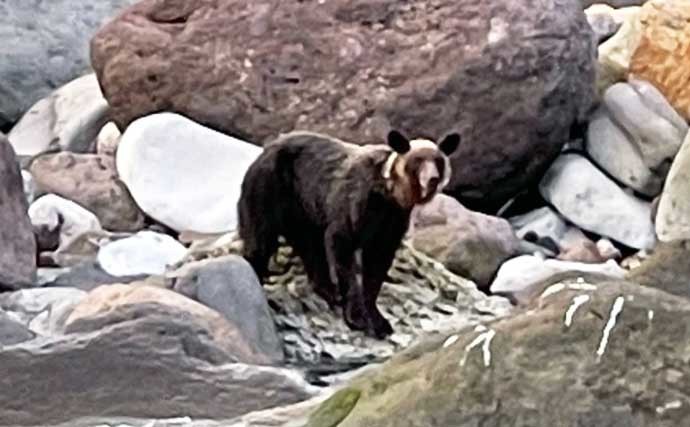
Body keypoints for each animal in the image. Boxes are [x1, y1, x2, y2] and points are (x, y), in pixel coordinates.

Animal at [239, 130, 460, 338]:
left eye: (438, 161)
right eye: (418, 160)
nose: (432, 179)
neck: (389, 194)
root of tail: (265, 149)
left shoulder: (392, 221)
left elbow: (377, 264)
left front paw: (379, 320)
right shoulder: (356, 203)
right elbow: (342, 245)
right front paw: (357, 317)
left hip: (303, 210)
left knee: (311, 246)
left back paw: (328, 290)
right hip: (271, 187)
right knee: (261, 237)